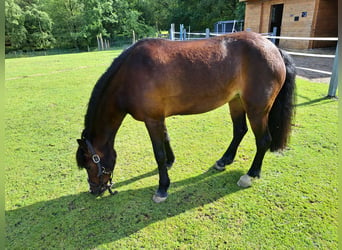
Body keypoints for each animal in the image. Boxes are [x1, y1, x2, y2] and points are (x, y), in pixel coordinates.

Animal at [76, 31, 296, 203]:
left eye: (89, 163)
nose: (94, 190)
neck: (130, 75)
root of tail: (274, 48)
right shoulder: (158, 118)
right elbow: (166, 139)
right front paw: (170, 162)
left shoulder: (152, 120)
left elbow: (158, 153)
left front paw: (163, 188)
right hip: (236, 102)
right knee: (239, 130)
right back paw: (224, 160)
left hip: (257, 109)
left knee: (263, 140)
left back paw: (250, 175)